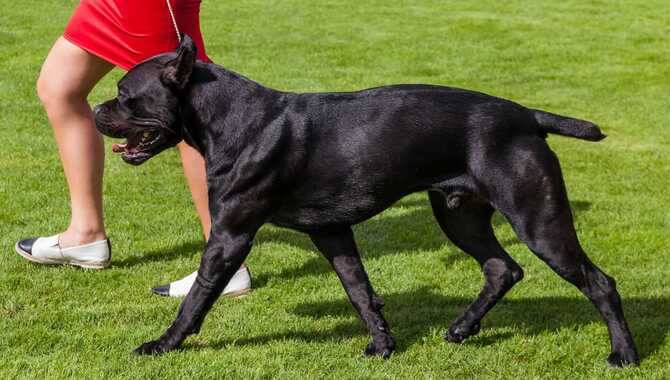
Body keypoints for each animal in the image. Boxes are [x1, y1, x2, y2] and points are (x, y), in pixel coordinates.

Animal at [93, 36, 640, 368]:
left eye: (125, 93)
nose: (96, 111)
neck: (230, 118)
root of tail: (527, 115)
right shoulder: (331, 231)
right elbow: (360, 291)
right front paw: (383, 345)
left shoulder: (230, 236)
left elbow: (197, 299)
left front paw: (163, 344)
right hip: (460, 216)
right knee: (502, 269)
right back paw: (461, 329)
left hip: (538, 220)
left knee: (599, 282)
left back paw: (625, 354)